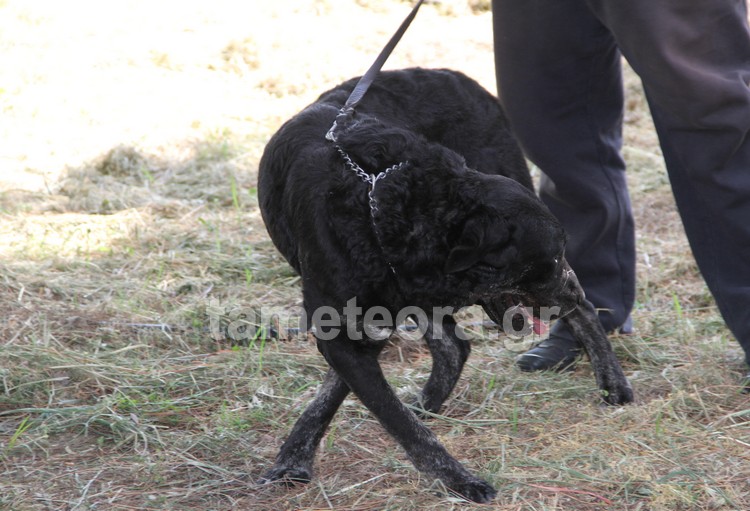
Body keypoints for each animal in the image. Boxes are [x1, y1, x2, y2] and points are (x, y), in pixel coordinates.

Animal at [258, 68, 636, 504]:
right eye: (551, 258)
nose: (572, 288)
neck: (380, 205)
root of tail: (455, 75)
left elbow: (378, 410)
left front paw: (456, 479)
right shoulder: (351, 327)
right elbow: (389, 414)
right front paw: (294, 457)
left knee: (571, 316)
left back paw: (612, 382)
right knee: (455, 345)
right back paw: (429, 401)